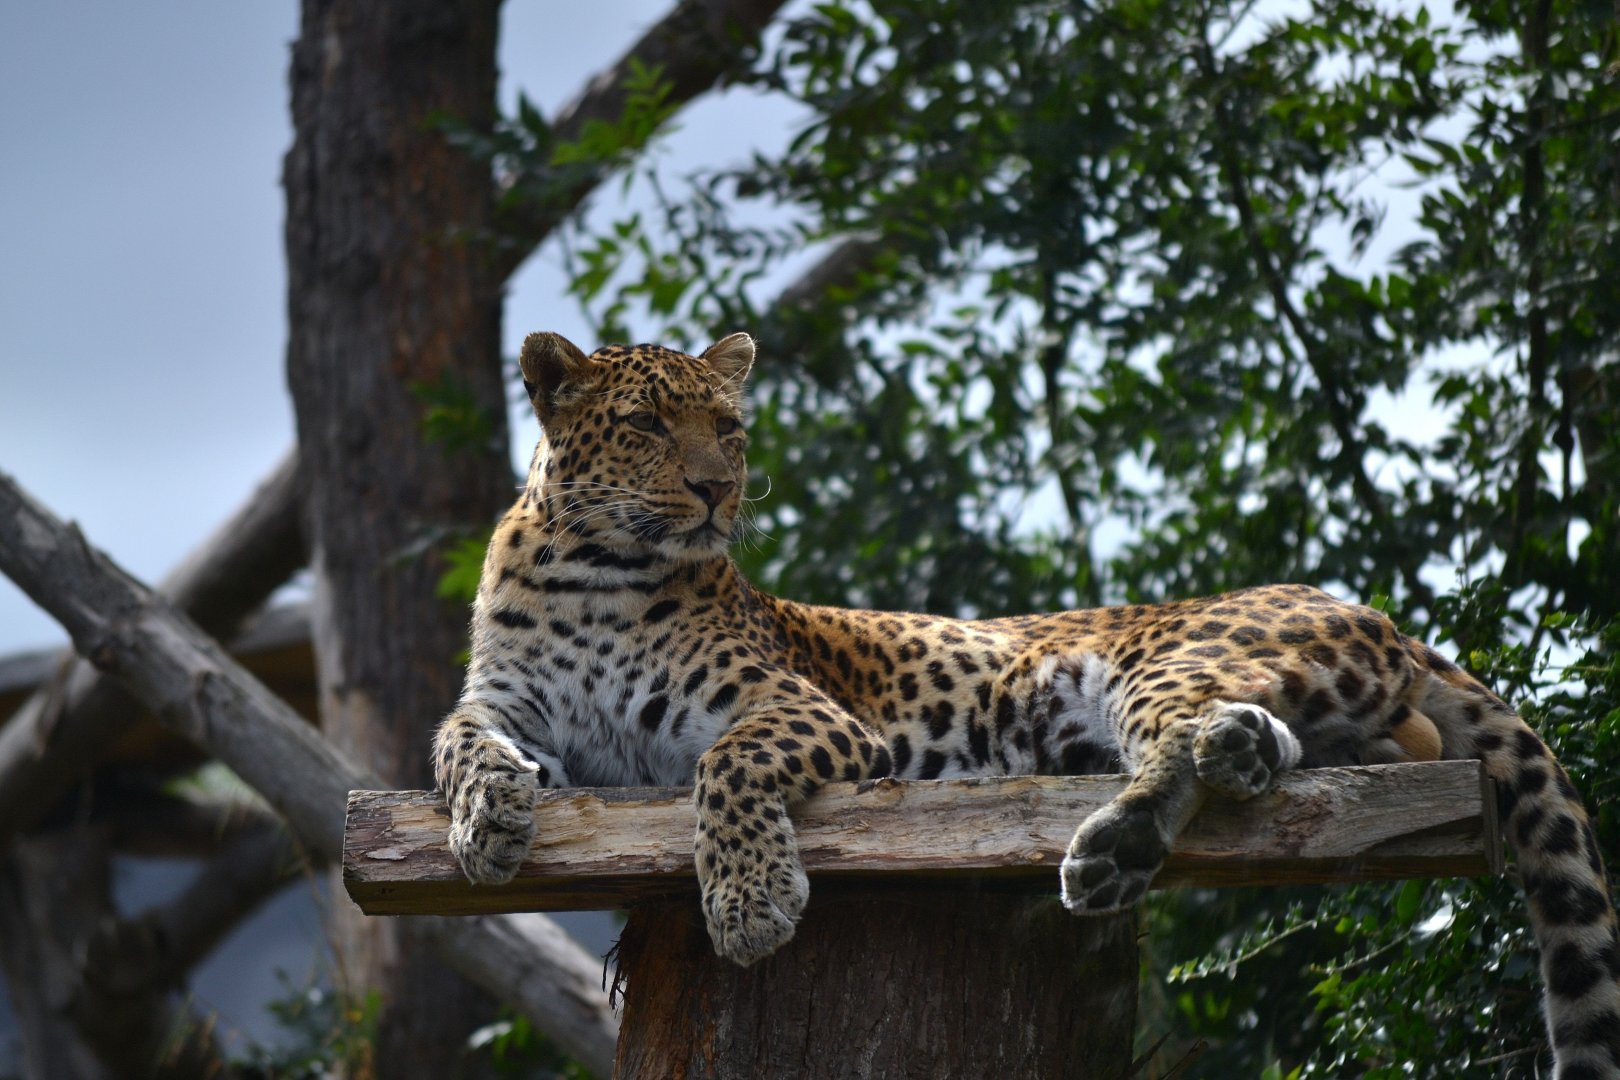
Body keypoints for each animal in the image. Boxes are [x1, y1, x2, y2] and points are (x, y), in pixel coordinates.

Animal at [433, 330, 1620, 1078]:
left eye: (728, 426)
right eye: (643, 425)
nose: (715, 490)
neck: (591, 572)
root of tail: (1363, 607)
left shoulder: (796, 709)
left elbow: (724, 768)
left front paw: (749, 903)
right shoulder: (506, 707)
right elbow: (454, 745)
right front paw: (487, 821)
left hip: (1163, 657)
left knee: (1194, 736)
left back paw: (1119, 844)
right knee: (1337, 738)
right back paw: (1221, 774)